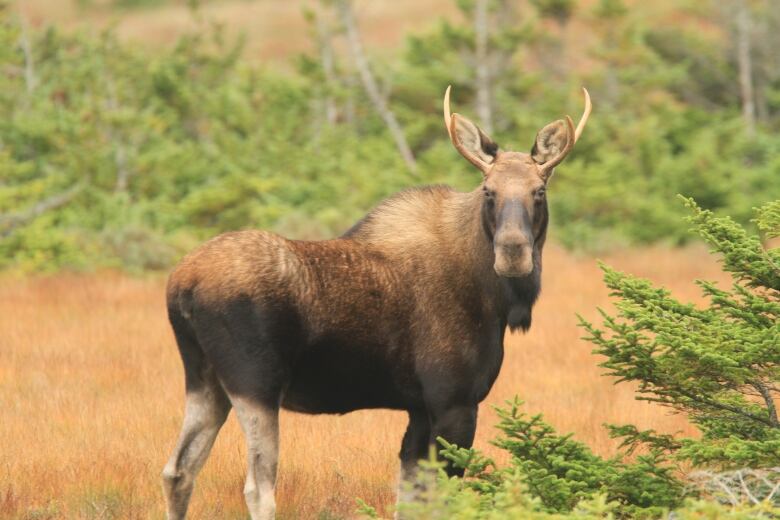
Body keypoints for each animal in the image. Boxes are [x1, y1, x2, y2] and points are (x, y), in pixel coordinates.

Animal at [165, 86, 592, 520]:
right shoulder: (454, 401)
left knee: (178, 471)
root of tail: (182, 285)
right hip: (255, 384)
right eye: (489, 192)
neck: (494, 299)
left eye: (539, 191)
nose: (512, 252)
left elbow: (409, 495)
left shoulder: (419, 408)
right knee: (257, 489)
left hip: (204, 380)